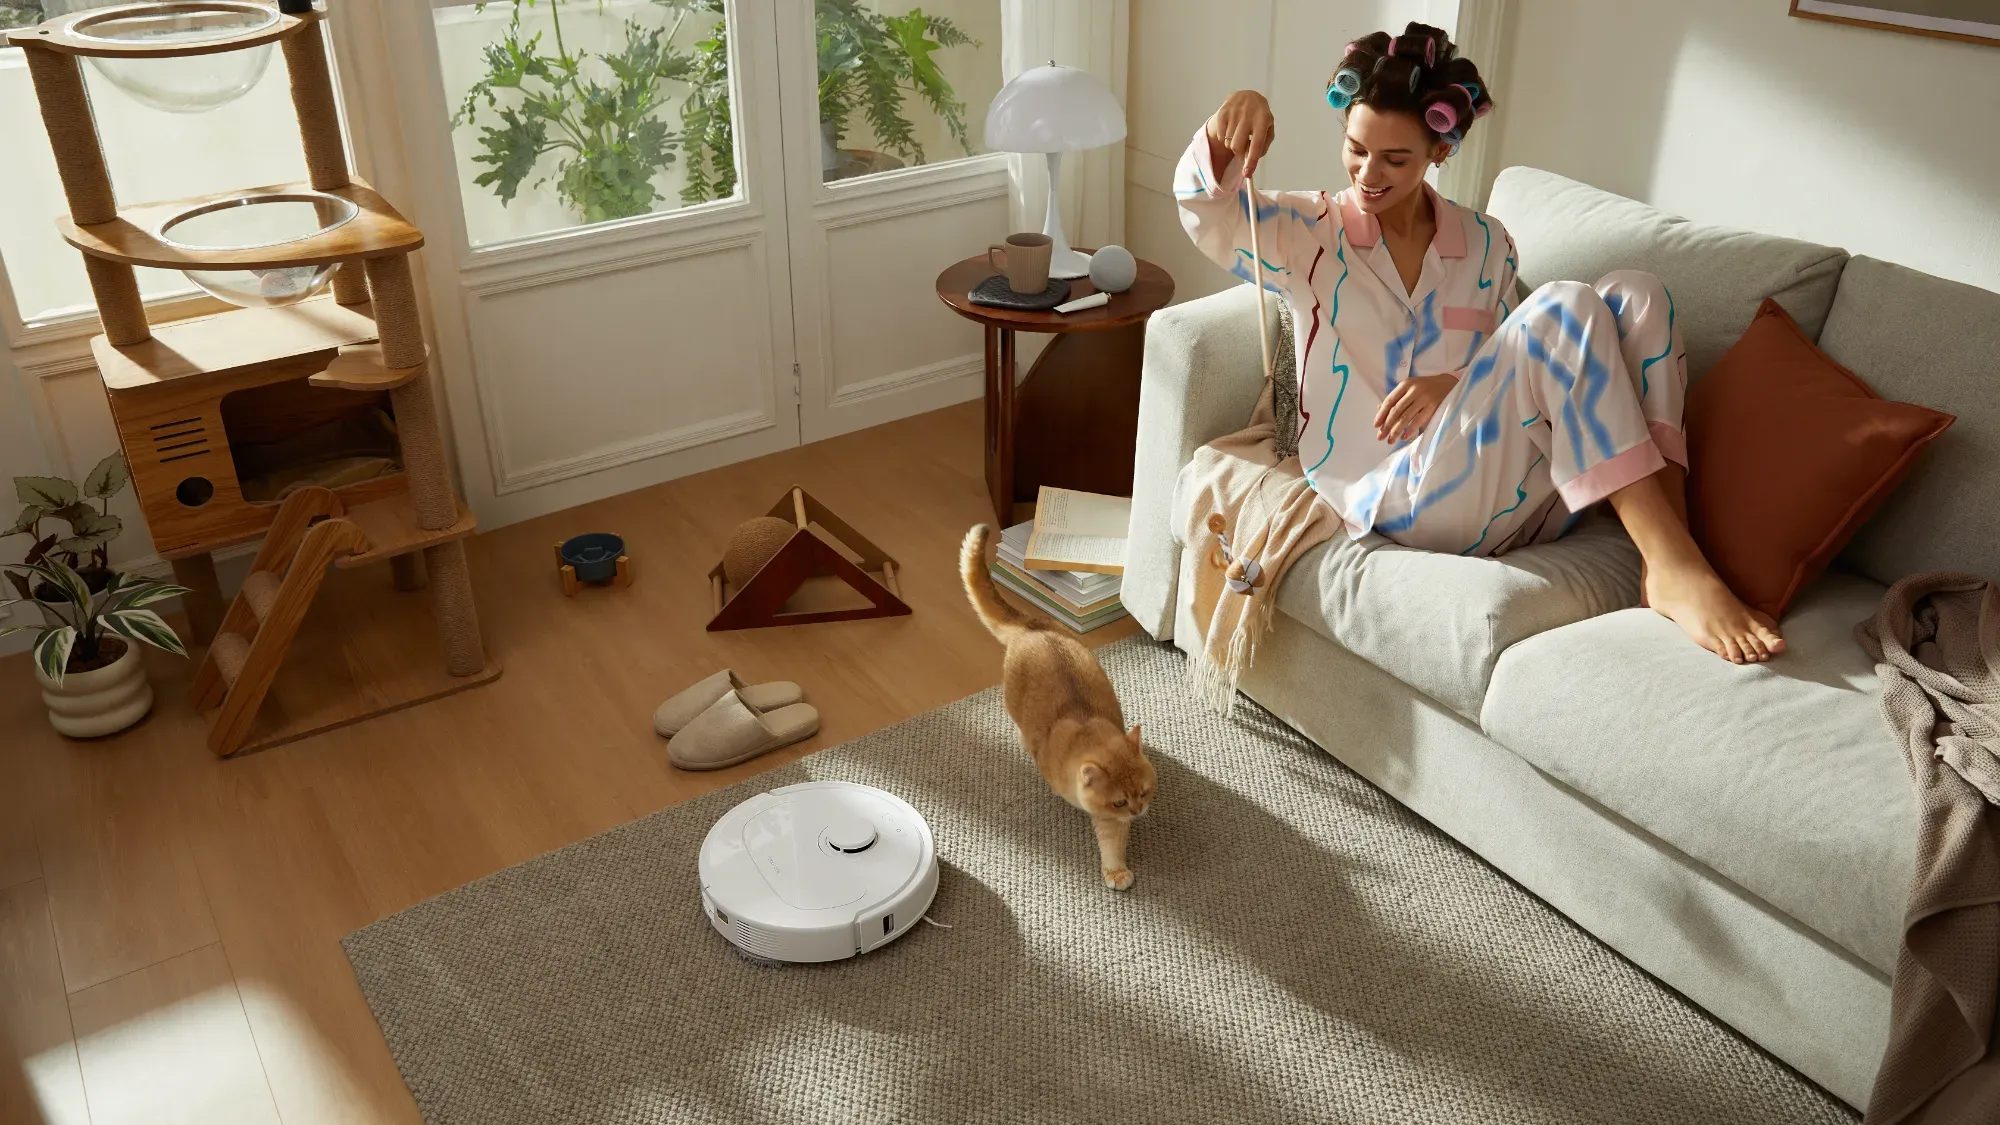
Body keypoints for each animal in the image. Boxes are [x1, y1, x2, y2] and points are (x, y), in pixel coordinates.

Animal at [964, 524, 1160, 884]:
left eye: (1144, 792)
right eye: (1120, 802)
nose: (1138, 811)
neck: (1084, 731)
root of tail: (1031, 627)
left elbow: (1112, 841)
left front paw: (1116, 870)